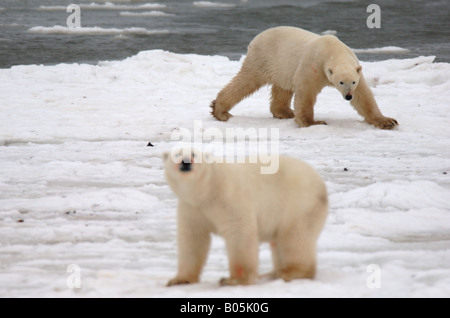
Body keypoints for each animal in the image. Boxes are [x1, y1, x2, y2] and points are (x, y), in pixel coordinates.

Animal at [163, 148, 328, 286]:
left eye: (194, 154)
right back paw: (273, 273)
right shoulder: (192, 208)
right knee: (279, 242)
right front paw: (179, 279)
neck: (206, 191)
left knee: (294, 238)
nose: (185, 162)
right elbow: (193, 239)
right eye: (177, 154)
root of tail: (321, 184)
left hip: (299, 204)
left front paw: (232, 280)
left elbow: (239, 232)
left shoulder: (229, 197)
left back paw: (290, 272)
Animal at [211, 26, 398, 130]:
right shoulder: (313, 65)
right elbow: (306, 92)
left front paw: (387, 121)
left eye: (352, 81)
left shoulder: (355, 69)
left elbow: (364, 96)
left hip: (281, 67)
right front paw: (314, 122)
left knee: (283, 89)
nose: (347, 96)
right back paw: (220, 111)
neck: (333, 51)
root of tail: (255, 38)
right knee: (246, 81)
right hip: (263, 58)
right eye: (341, 82)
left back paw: (285, 112)